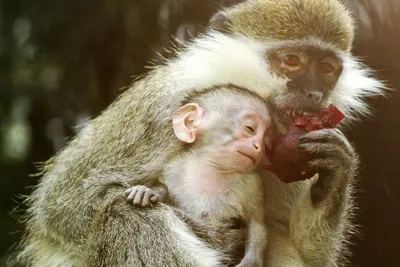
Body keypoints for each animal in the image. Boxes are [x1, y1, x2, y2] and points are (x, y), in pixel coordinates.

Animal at [124, 87, 272, 266]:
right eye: (250, 128)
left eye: (266, 141)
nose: (259, 147)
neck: (212, 167)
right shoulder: (174, 168)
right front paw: (148, 191)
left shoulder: (253, 185)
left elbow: (257, 224)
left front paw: (251, 260)